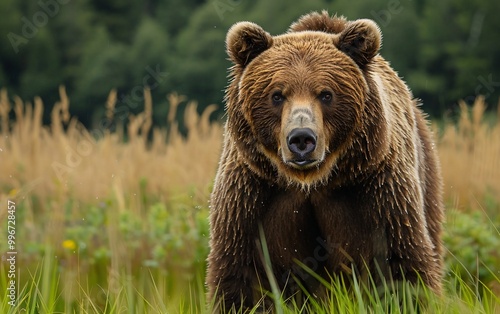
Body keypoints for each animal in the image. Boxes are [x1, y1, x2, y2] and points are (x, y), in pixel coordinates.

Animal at [205, 9, 444, 312]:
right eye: (276, 95)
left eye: (326, 93)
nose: (301, 139)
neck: (312, 181)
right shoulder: (253, 192)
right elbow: (242, 273)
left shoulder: (376, 188)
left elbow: (401, 263)